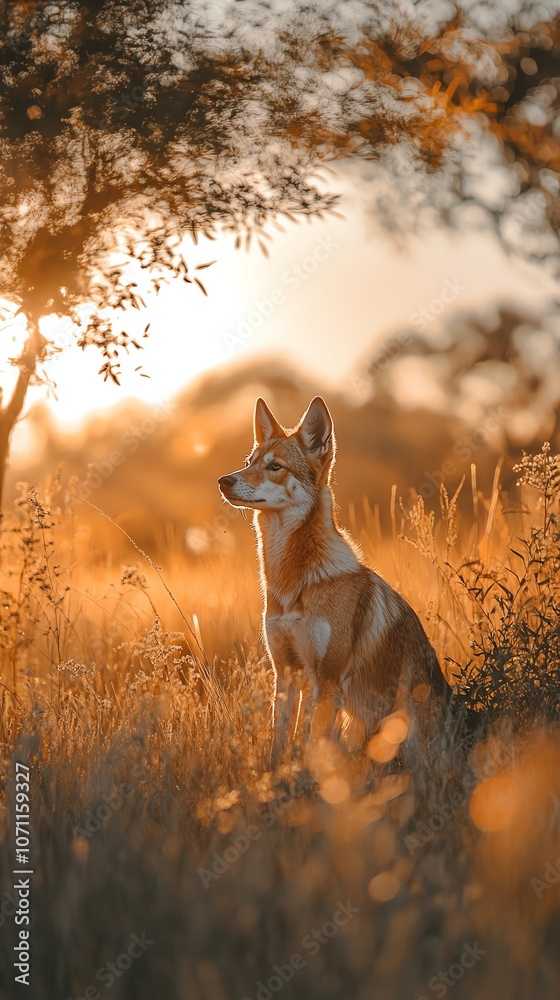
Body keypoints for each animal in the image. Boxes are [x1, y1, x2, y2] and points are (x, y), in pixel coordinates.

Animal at [218, 396, 449, 762]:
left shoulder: (327, 681)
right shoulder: (285, 674)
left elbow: (313, 748)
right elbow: (280, 744)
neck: (294, 582)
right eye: (248, 462)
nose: (223, 480)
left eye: (275, 467)